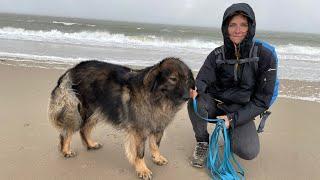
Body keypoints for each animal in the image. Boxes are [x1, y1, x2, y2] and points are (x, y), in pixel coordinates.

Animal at [49, 57, 195, 179]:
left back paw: (90, 144)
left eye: (187, 79)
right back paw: (66, 151)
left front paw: (157, 157)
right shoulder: (139, 131)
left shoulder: (158, 126)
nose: (187, 97)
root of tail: (73, 69)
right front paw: (142, 169)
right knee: (68, 131)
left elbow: (155, 144)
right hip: (82, 112)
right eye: (173, 79)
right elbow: (140, 153)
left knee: (84, 129)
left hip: (96, 111)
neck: (157, 97)